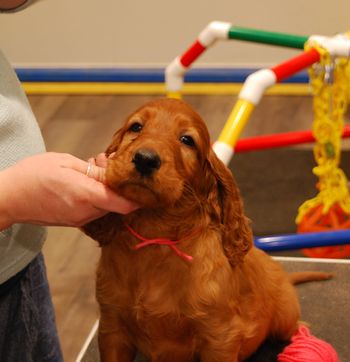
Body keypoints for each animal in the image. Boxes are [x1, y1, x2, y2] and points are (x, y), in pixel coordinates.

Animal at [82, 97, 330, 360]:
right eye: (136, 127)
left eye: (187, 140)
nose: (145, 159)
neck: (156, 236)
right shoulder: (112, 327)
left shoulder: (219, 337)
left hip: (284, 316)